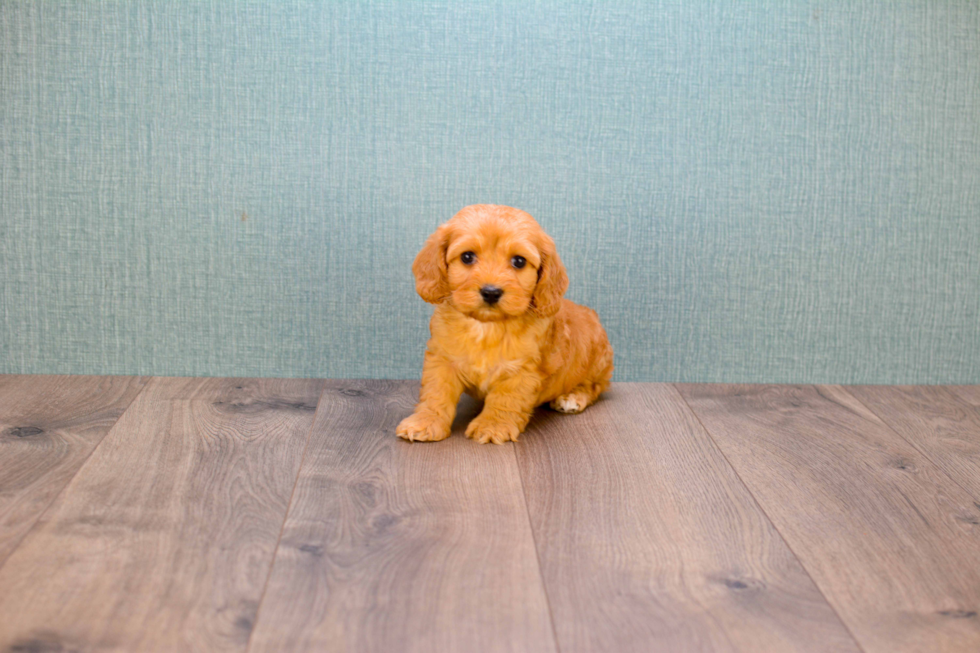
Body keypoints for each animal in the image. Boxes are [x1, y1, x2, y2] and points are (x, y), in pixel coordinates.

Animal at [392, 204, 608, 444]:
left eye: (519, 261)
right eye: (467, 257)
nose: (491, 292)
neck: (487, 327)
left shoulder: (522, 370)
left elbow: (505, 399)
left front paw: (493, 425)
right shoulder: (442, 358)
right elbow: (436, 392)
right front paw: (425, 422)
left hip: (596, 365)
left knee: (594, 386)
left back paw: (572, 397)